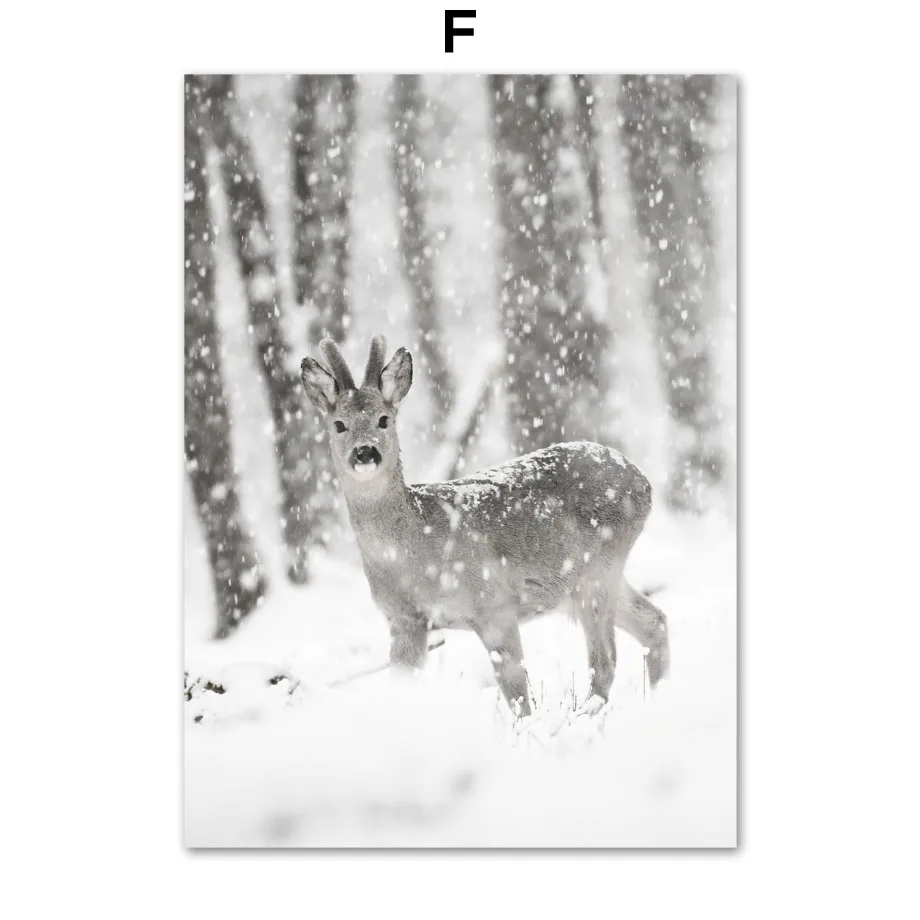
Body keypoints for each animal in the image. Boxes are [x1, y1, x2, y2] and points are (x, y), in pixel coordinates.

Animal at [300, 336, 670, 717]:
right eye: (339, 424)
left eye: (384, 419)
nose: (365, 452)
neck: (413, 553)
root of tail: (643, 481)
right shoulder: (405, 621)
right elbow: (399, 688)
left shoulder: (494, 606)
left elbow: (517, 693)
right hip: (593, 581)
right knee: (654, 621)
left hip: (598, 571)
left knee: (606, 659)